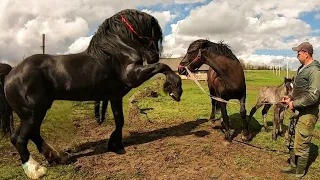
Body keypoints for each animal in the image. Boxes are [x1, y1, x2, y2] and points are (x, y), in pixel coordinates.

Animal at [0, 8, 182, 179]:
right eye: (154, 33)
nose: (154, 56)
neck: (117, 50)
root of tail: (11, 74)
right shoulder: (133, 77)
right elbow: (162, 67)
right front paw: (174, 89)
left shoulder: (115, 96)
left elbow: (120, 120)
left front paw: (115, 144)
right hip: (32, 112)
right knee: (20, 139)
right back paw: (36, 170)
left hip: (36, 111)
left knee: (31, 135)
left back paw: (58, 158)